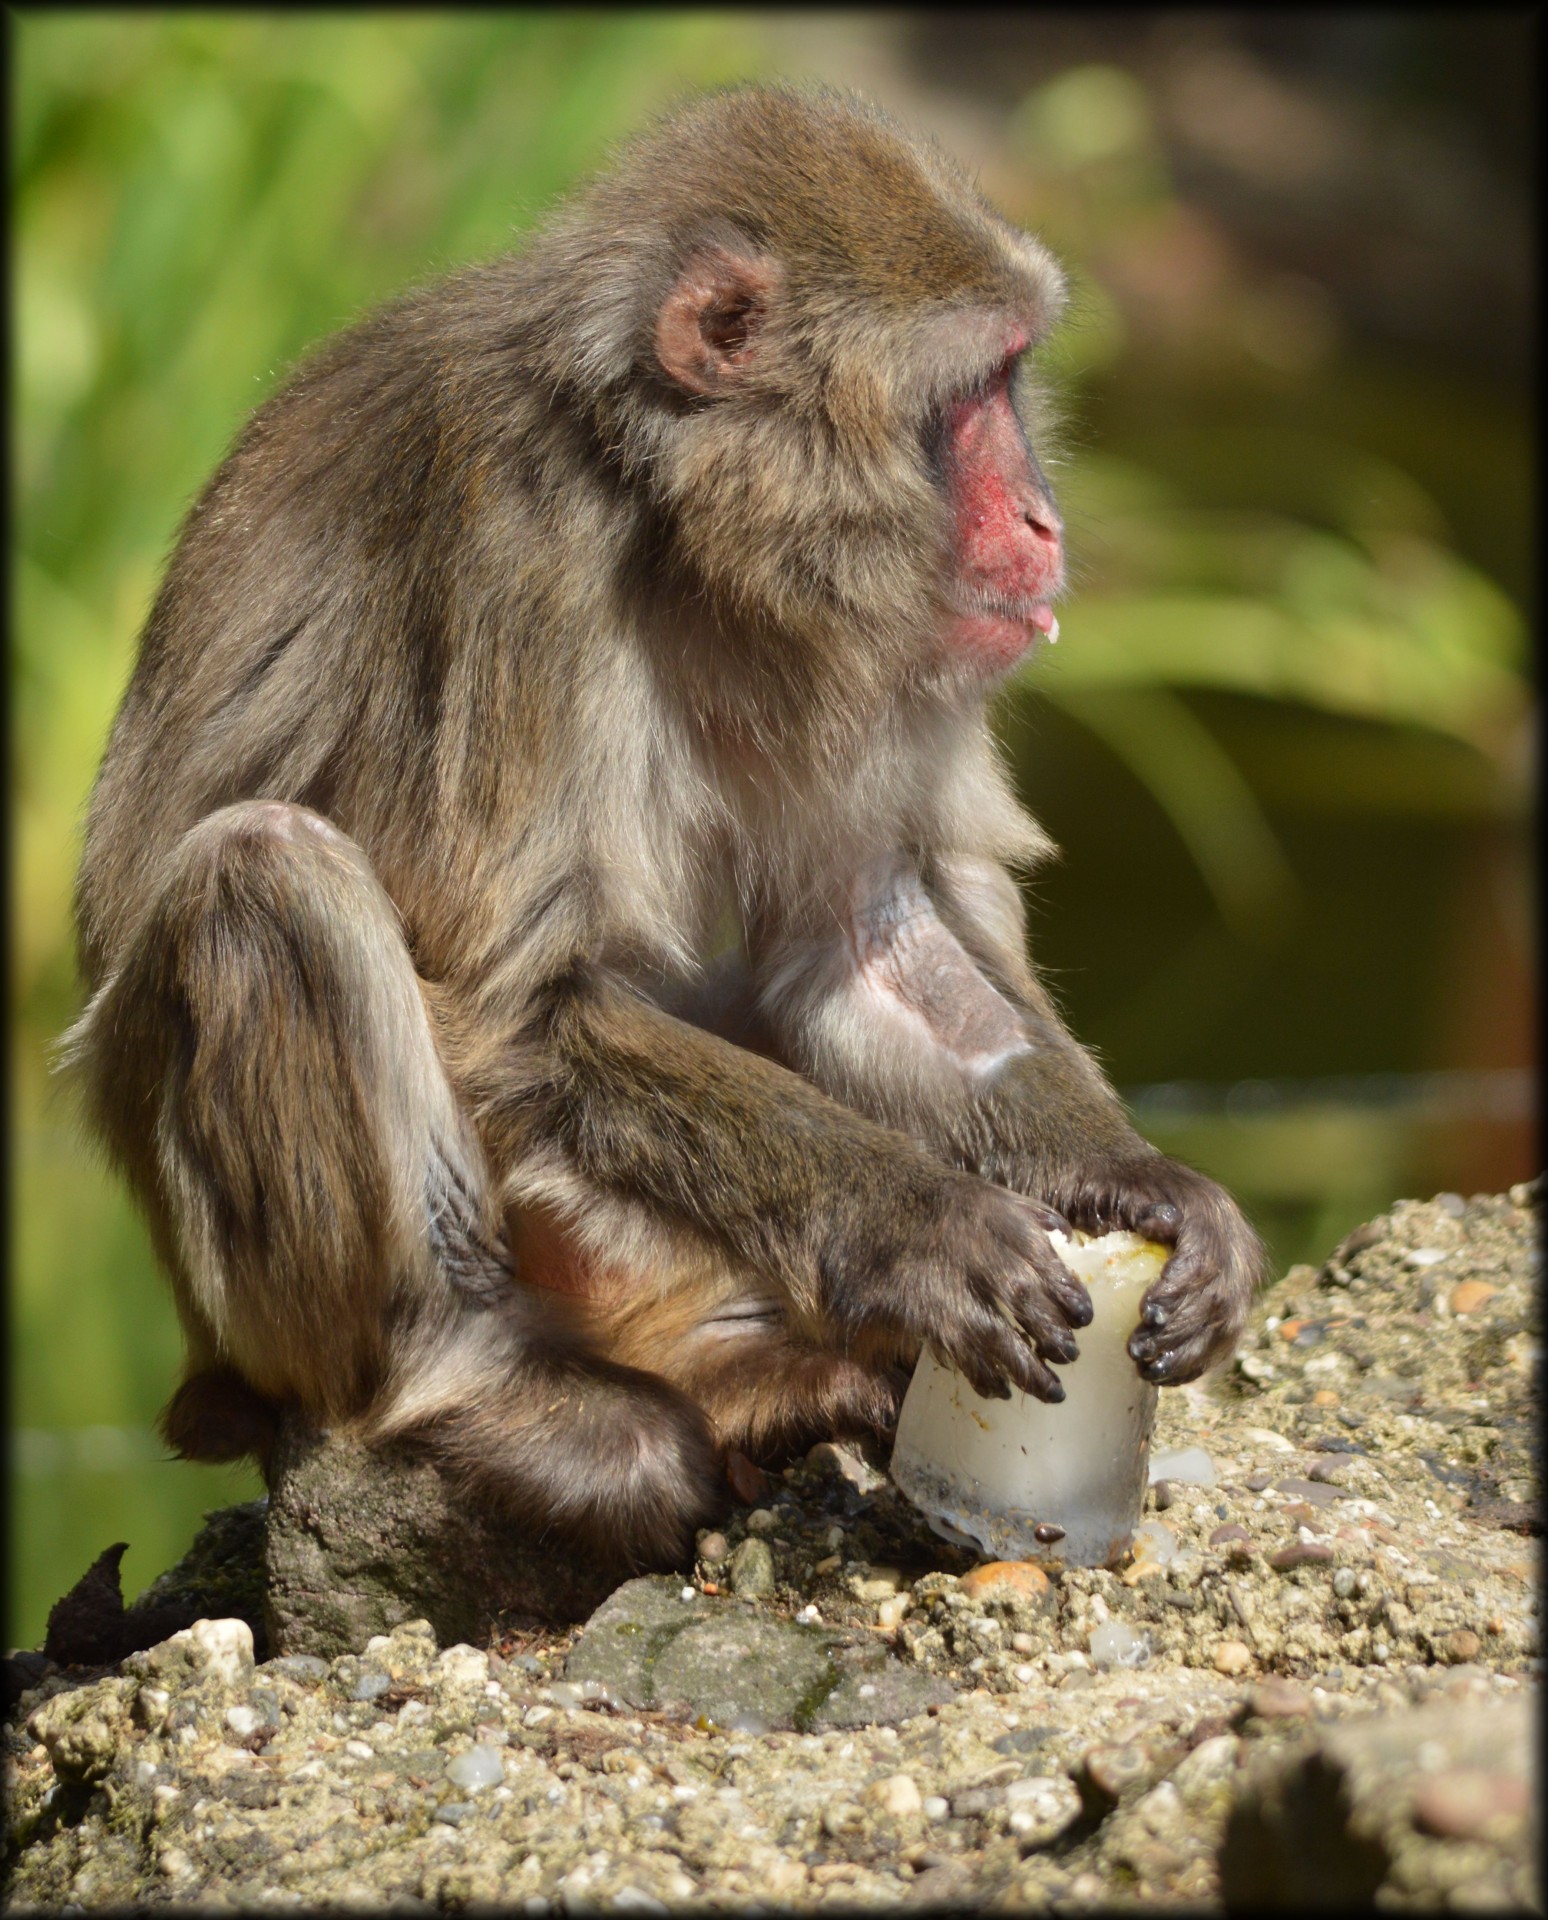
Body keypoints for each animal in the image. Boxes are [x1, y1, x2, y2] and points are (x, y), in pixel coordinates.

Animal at [66, 82, 1267, 1566]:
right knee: (265, 875)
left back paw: (761, 1367)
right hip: (274, 1311)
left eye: (1014, 376)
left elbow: (862, 938)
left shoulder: (878, 641)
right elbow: (518, 997)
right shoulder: (513, 541)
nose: (1044, 523)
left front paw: (1139, 1187)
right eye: (969, 393)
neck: (678, 511)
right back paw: (495, 1385)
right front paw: (917, 1226)